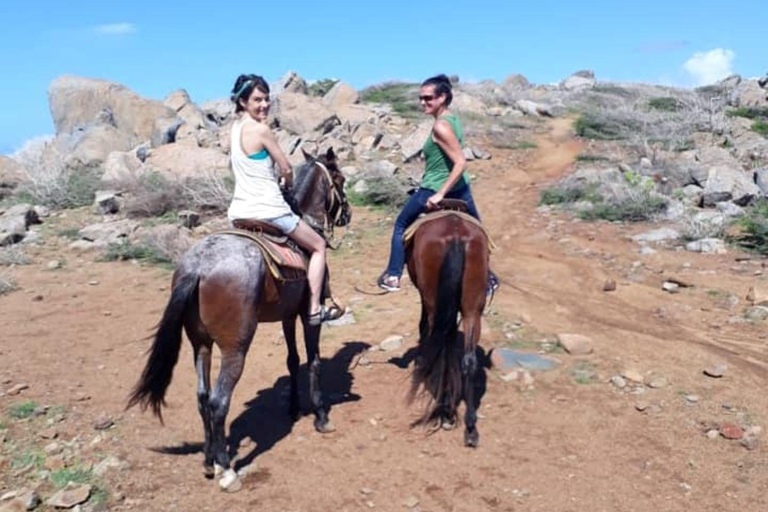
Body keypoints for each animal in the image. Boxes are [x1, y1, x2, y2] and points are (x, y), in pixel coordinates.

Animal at [128, 148, 352, 492]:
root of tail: (198, 266)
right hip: (235, 347)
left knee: (202, 396)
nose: (347, 214)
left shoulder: (287, 316)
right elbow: (313, 361)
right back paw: (227, 470)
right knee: (219, 400)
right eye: (339, 178)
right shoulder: (307, 315)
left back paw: (209, 461)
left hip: (201, 344)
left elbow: (292, 360)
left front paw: (294, 407)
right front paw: (321, 417)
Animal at [404, 210, 488, 446]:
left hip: (434, 299)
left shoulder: (425, 298)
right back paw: (470, 427)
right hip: (472, 308)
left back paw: (445, 410)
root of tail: (456, 234)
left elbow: (423, 327)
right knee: (468, 359)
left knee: (439, 344)